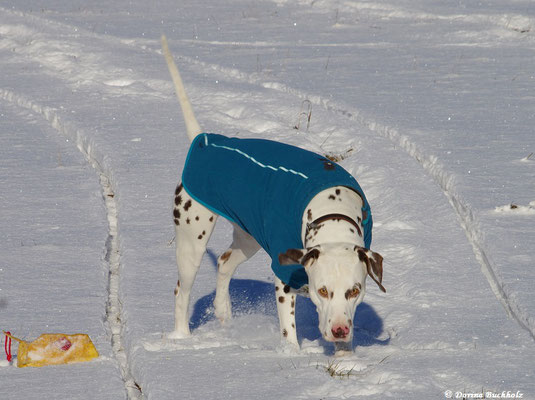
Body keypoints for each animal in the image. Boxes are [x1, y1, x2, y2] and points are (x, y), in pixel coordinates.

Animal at [161, 36, 384, 354]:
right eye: (323, 290)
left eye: (355, 290)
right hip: (192, 239)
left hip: (248, 236)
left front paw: (347, 357)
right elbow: (289, 332)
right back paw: (182, 339)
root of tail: (205, 142)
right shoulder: (284, 281)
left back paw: (224, 313)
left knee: (224, 262)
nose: (339, 330)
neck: (330, 211)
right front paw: (292, 355)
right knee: (182, 290)